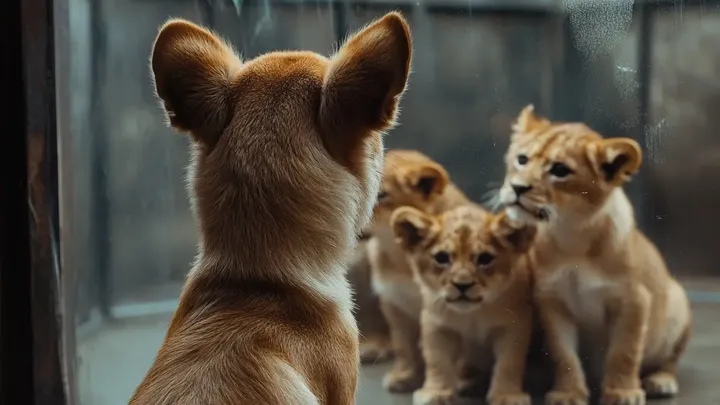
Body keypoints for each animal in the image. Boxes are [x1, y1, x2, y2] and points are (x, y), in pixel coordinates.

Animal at [363, 149, 469, 392]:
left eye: (381, 195)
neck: (402, 256)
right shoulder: (393, 302)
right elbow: (403, 345)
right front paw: (403, 376)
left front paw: (458, 380)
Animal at [390, 204, 537, 405]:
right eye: (441, 257)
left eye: (485, 258)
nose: (462, 285)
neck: (472, 315)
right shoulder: (435, 324)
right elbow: (437, 360)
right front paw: (436, 392)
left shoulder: (515, 325)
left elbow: (509, 362)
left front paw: (507, 396)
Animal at [496, 105, 692, 405]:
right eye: (522, 159)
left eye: (560, 170)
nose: (517, 188)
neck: (572, 237)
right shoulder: (552, 302)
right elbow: (564, 355)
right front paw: (568, 393)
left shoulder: (633, 300)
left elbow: (624, 351)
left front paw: (622, 392)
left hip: (678, 301)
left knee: (670, 359)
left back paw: (661, 380)